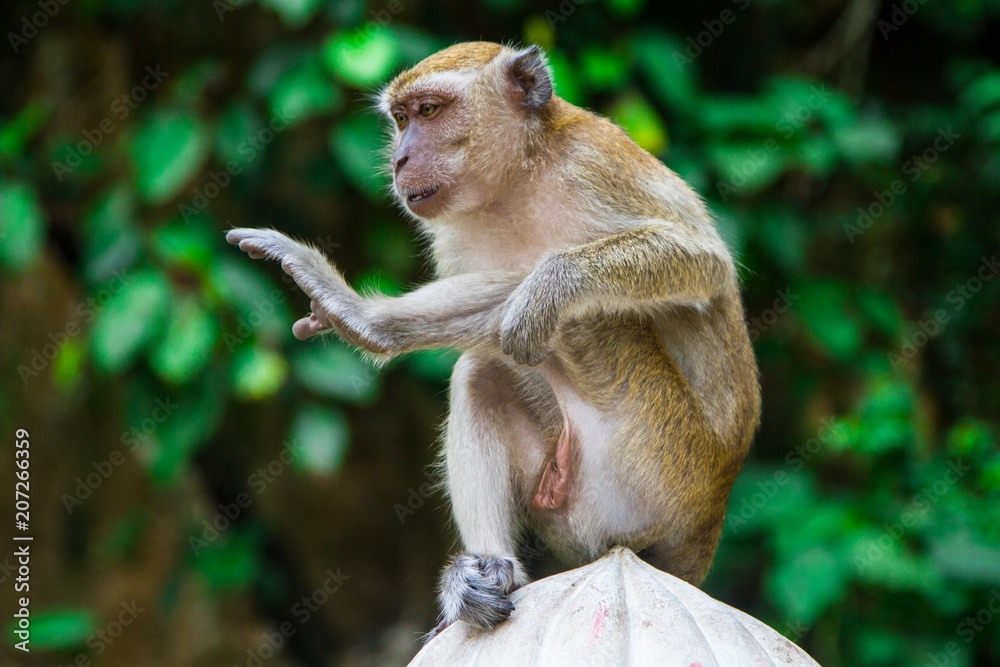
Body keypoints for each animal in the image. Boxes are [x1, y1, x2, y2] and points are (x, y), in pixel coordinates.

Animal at [225, 41, 756, 636]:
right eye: (401, 119)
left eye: (429, 111)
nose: (399, 160)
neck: (517, 182)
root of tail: (708, 519)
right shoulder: (451, 232)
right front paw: (364, 318)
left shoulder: (596, 165)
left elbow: (702, 262)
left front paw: (549, 286)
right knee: (483, 371)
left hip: (656, 459)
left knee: (579, 317)